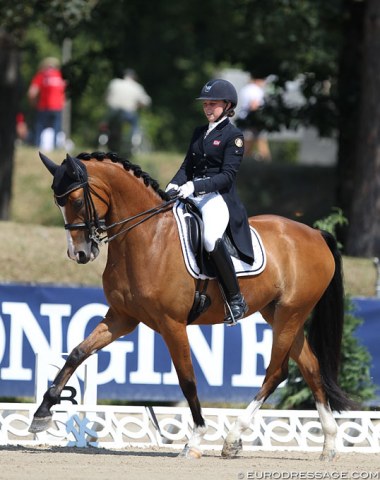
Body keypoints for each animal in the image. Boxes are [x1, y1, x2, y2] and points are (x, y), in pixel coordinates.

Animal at [29, 152, 354, 460]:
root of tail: (316, 234)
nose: (80, 253)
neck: (147, 237)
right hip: (278, 313)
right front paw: (42, 412)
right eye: (58, 202)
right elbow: (77, 353)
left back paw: (233, 438)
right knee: (311, 368)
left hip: (290, 313)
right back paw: (329, 444)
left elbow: (187, 379)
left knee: (276, 371)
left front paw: (195, 440)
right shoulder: (122, 317)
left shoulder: (171, 324)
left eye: (76, 201)